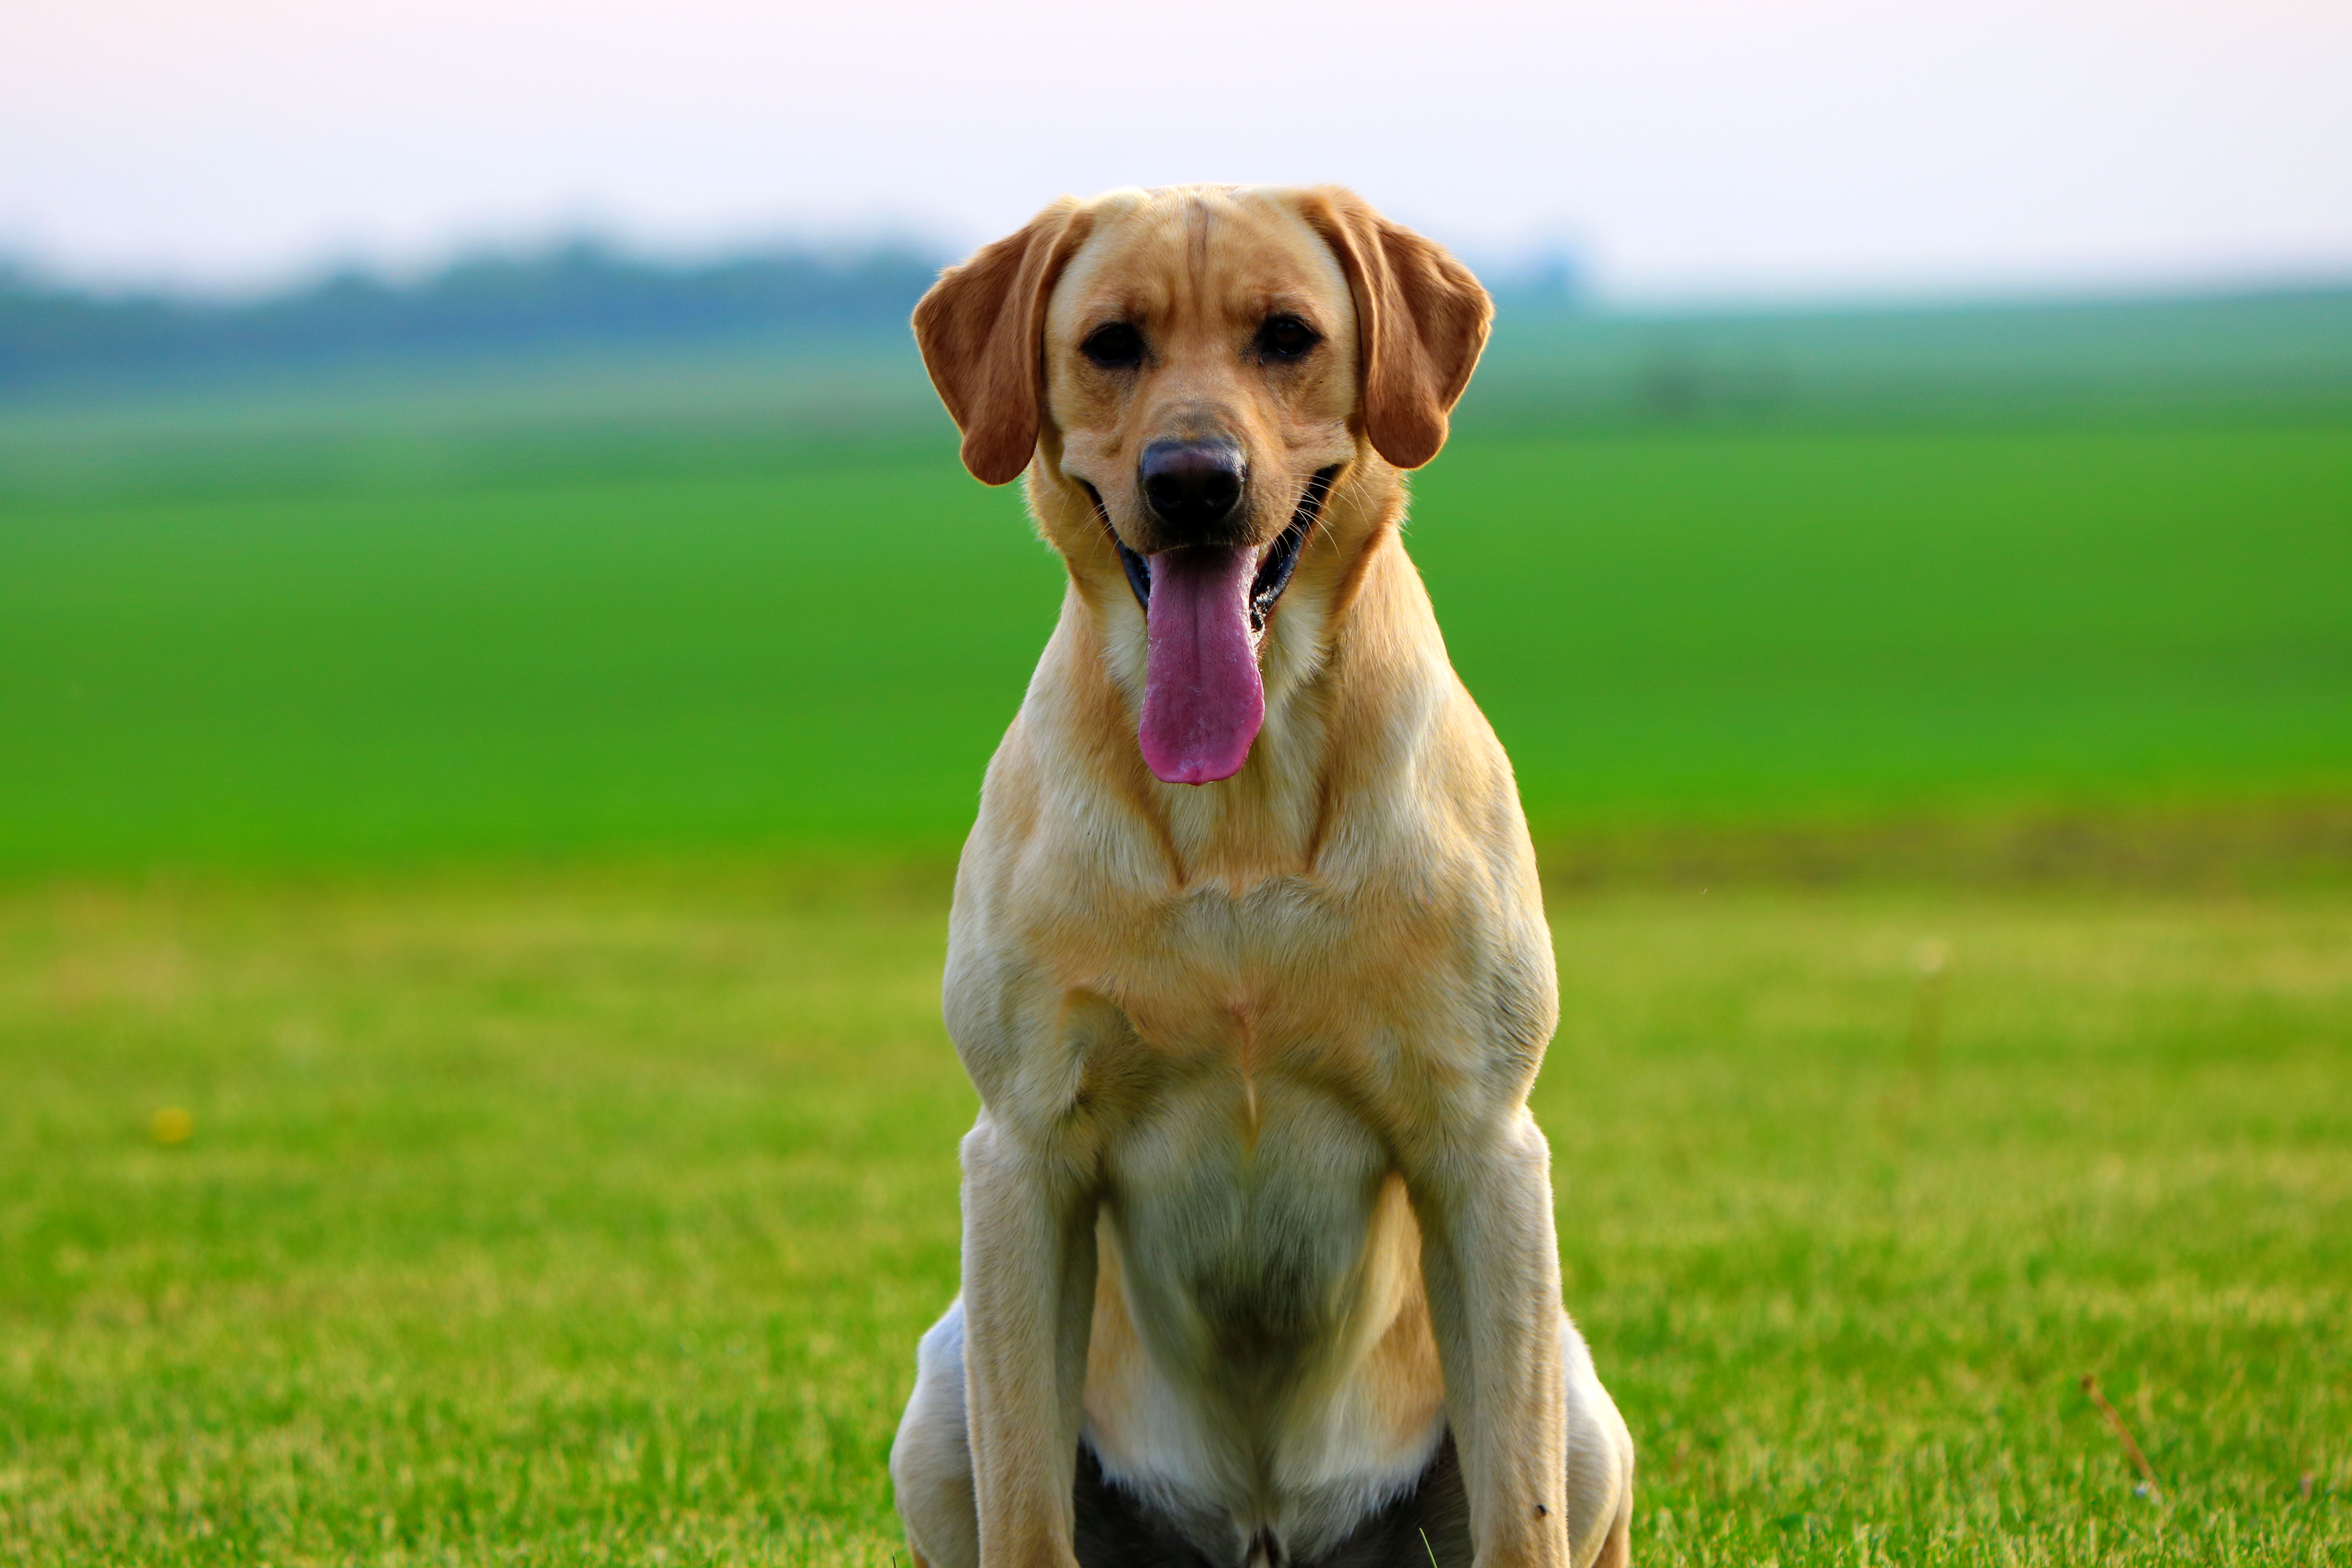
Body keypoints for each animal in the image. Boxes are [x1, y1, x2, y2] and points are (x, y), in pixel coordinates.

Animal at [884, 187, 1637, 1568]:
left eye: (1286, 336)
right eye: (1111, 343)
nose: (1194, 482)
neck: (1237, 806)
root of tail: (1263, 1534)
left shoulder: (1482, 1147)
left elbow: (1522, 1521)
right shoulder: (1021, 1156)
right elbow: (1028, 1512)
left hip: (1571, 1384)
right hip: (944, 1379)